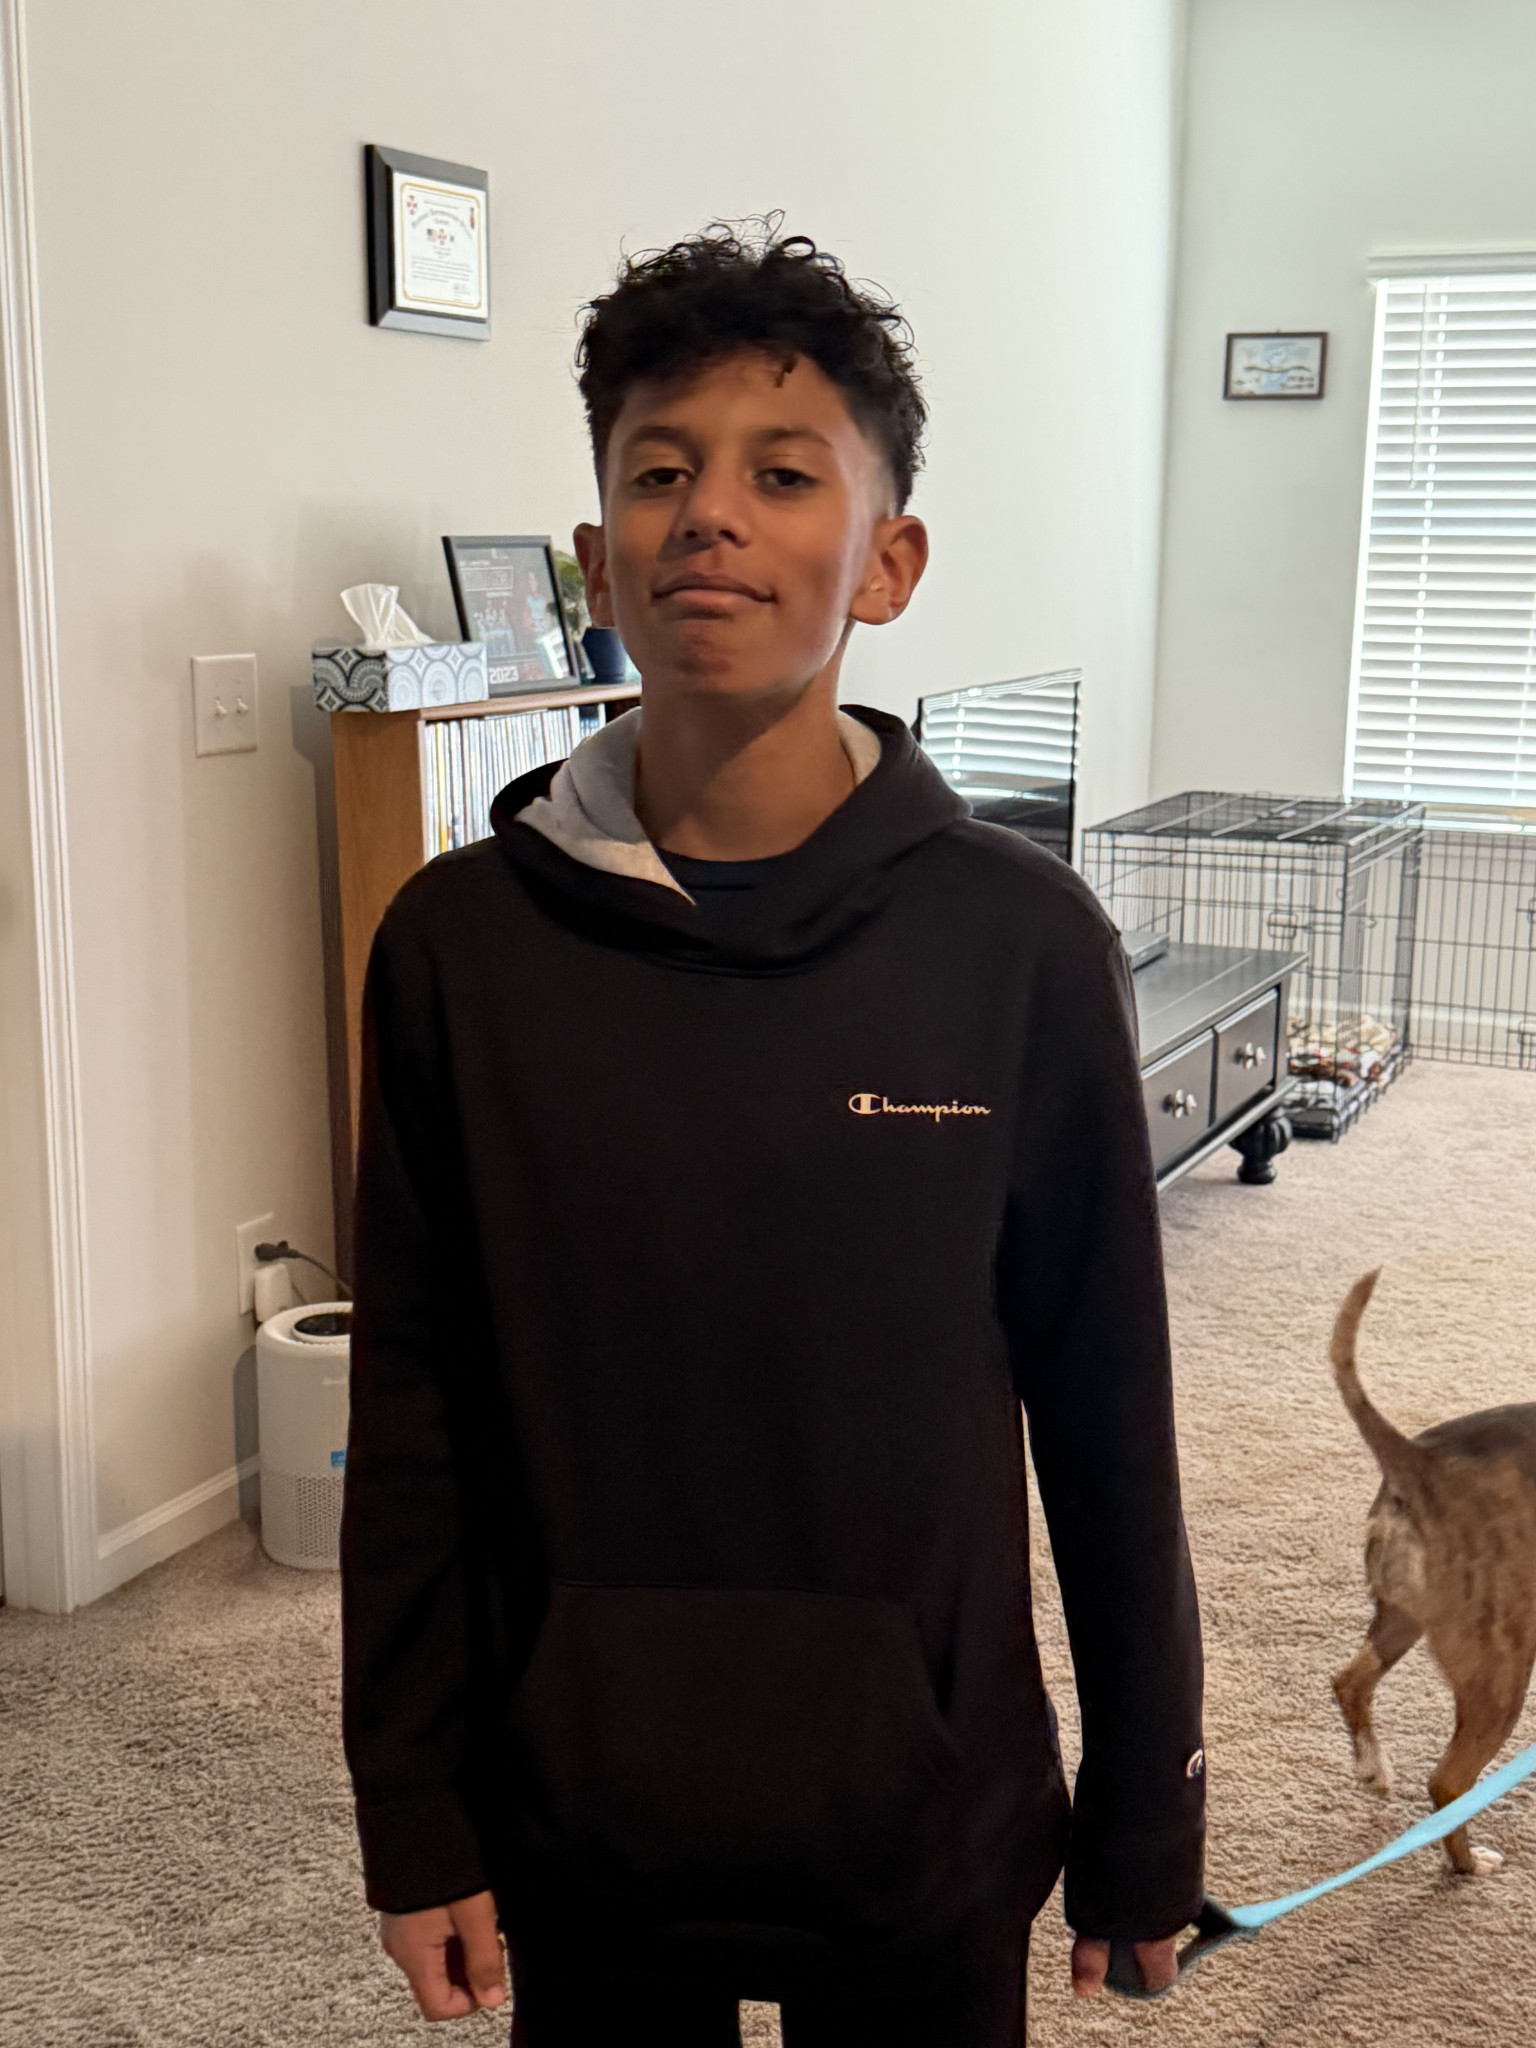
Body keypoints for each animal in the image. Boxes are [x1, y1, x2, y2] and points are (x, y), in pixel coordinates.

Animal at [1330, 1268, 1536, 1875]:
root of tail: (1419, 1462)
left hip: (1403, 1620)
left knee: (1350, 1682)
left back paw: (1374, 1770)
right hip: (1501, 1673)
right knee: (1447, 1783)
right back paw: (1469, 1866)